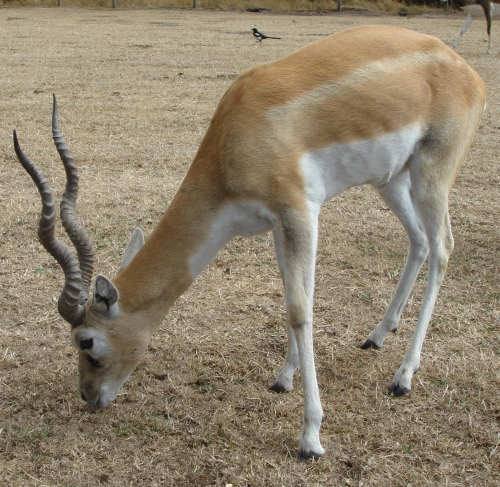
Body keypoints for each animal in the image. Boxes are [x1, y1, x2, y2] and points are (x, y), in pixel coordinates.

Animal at [13, 25, 486, 462]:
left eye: (87, 342)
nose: (88, 396)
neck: (238, 133)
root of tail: (468, 71)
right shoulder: (276, 222)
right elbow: (293, 294)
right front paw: (283, 378)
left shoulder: (300, 212)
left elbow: (300, 310)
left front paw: (311, 437)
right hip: (391, 179)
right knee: (418, 241)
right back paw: (377, 335)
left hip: (431, 173)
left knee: (443, 247)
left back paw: (403, 377)